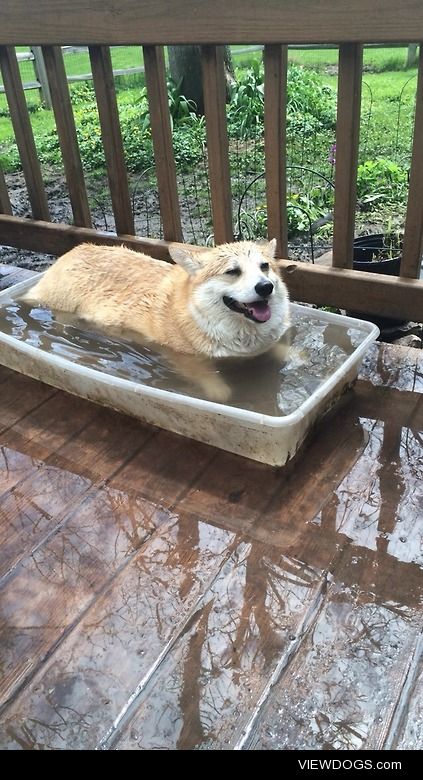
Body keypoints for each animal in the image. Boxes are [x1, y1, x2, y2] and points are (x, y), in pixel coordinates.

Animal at [20, 241, 292, 402]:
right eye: (232, 271)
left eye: (264, 266)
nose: (266, 287)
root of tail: (71, 252)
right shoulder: (182, 356)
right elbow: (212, 383)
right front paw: (219, 390)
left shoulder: (263, 346)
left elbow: (283, 351)